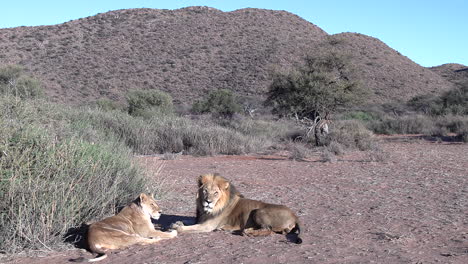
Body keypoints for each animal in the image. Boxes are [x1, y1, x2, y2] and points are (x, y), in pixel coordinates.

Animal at [172, 173, 304, 243]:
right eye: (205, 191)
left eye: (216, 193)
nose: (208, 201)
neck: (207, 210)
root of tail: (295, 215)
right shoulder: (201, 219)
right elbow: (188, 221)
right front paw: (178, 222)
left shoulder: (207, 226)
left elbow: (188, 228)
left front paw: (177, 227)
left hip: (259, 211)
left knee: (268, 230)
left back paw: (248, 232)